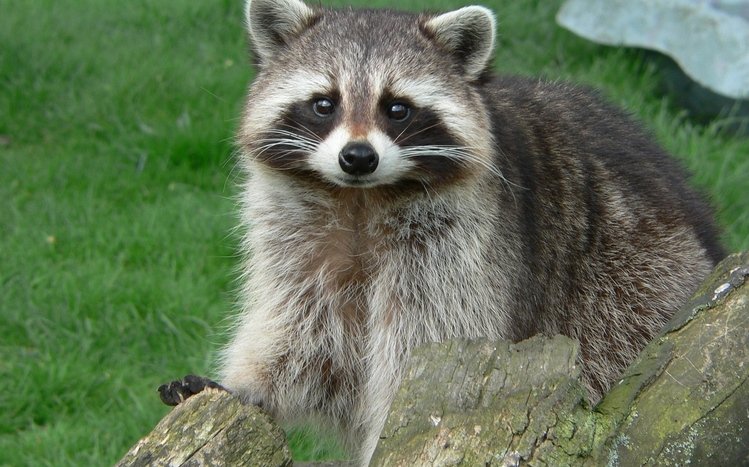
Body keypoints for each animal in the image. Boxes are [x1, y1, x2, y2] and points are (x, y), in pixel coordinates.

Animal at [217, 0, 724, 463]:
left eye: (397, 109)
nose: (358, 157)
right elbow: (306, 333)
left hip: (632, 285)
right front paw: (253, 385)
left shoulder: (459, 251)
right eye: (324, 103)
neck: (361, 198)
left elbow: (424, 342)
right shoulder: (297, 238)